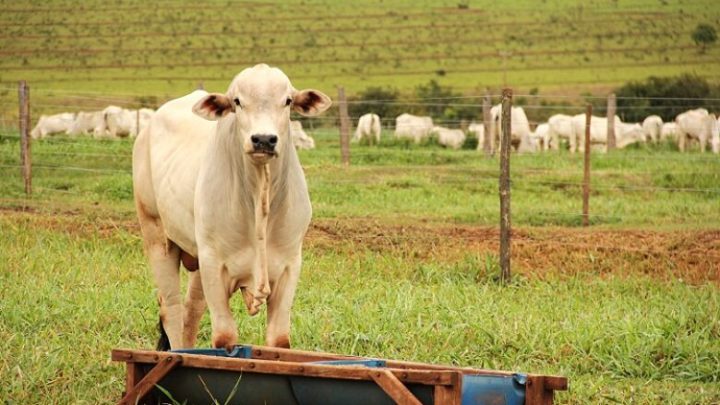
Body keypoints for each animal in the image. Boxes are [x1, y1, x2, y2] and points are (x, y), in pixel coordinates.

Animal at [133, 64, 332, 350]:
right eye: (237, 101)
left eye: (287, 101)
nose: (263, 139)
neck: (260, 199)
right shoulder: (214, 265)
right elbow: (224, 337)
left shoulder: (290, 264)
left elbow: (279, 340)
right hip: (157, 236)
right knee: (171, 309)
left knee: (191, 310)